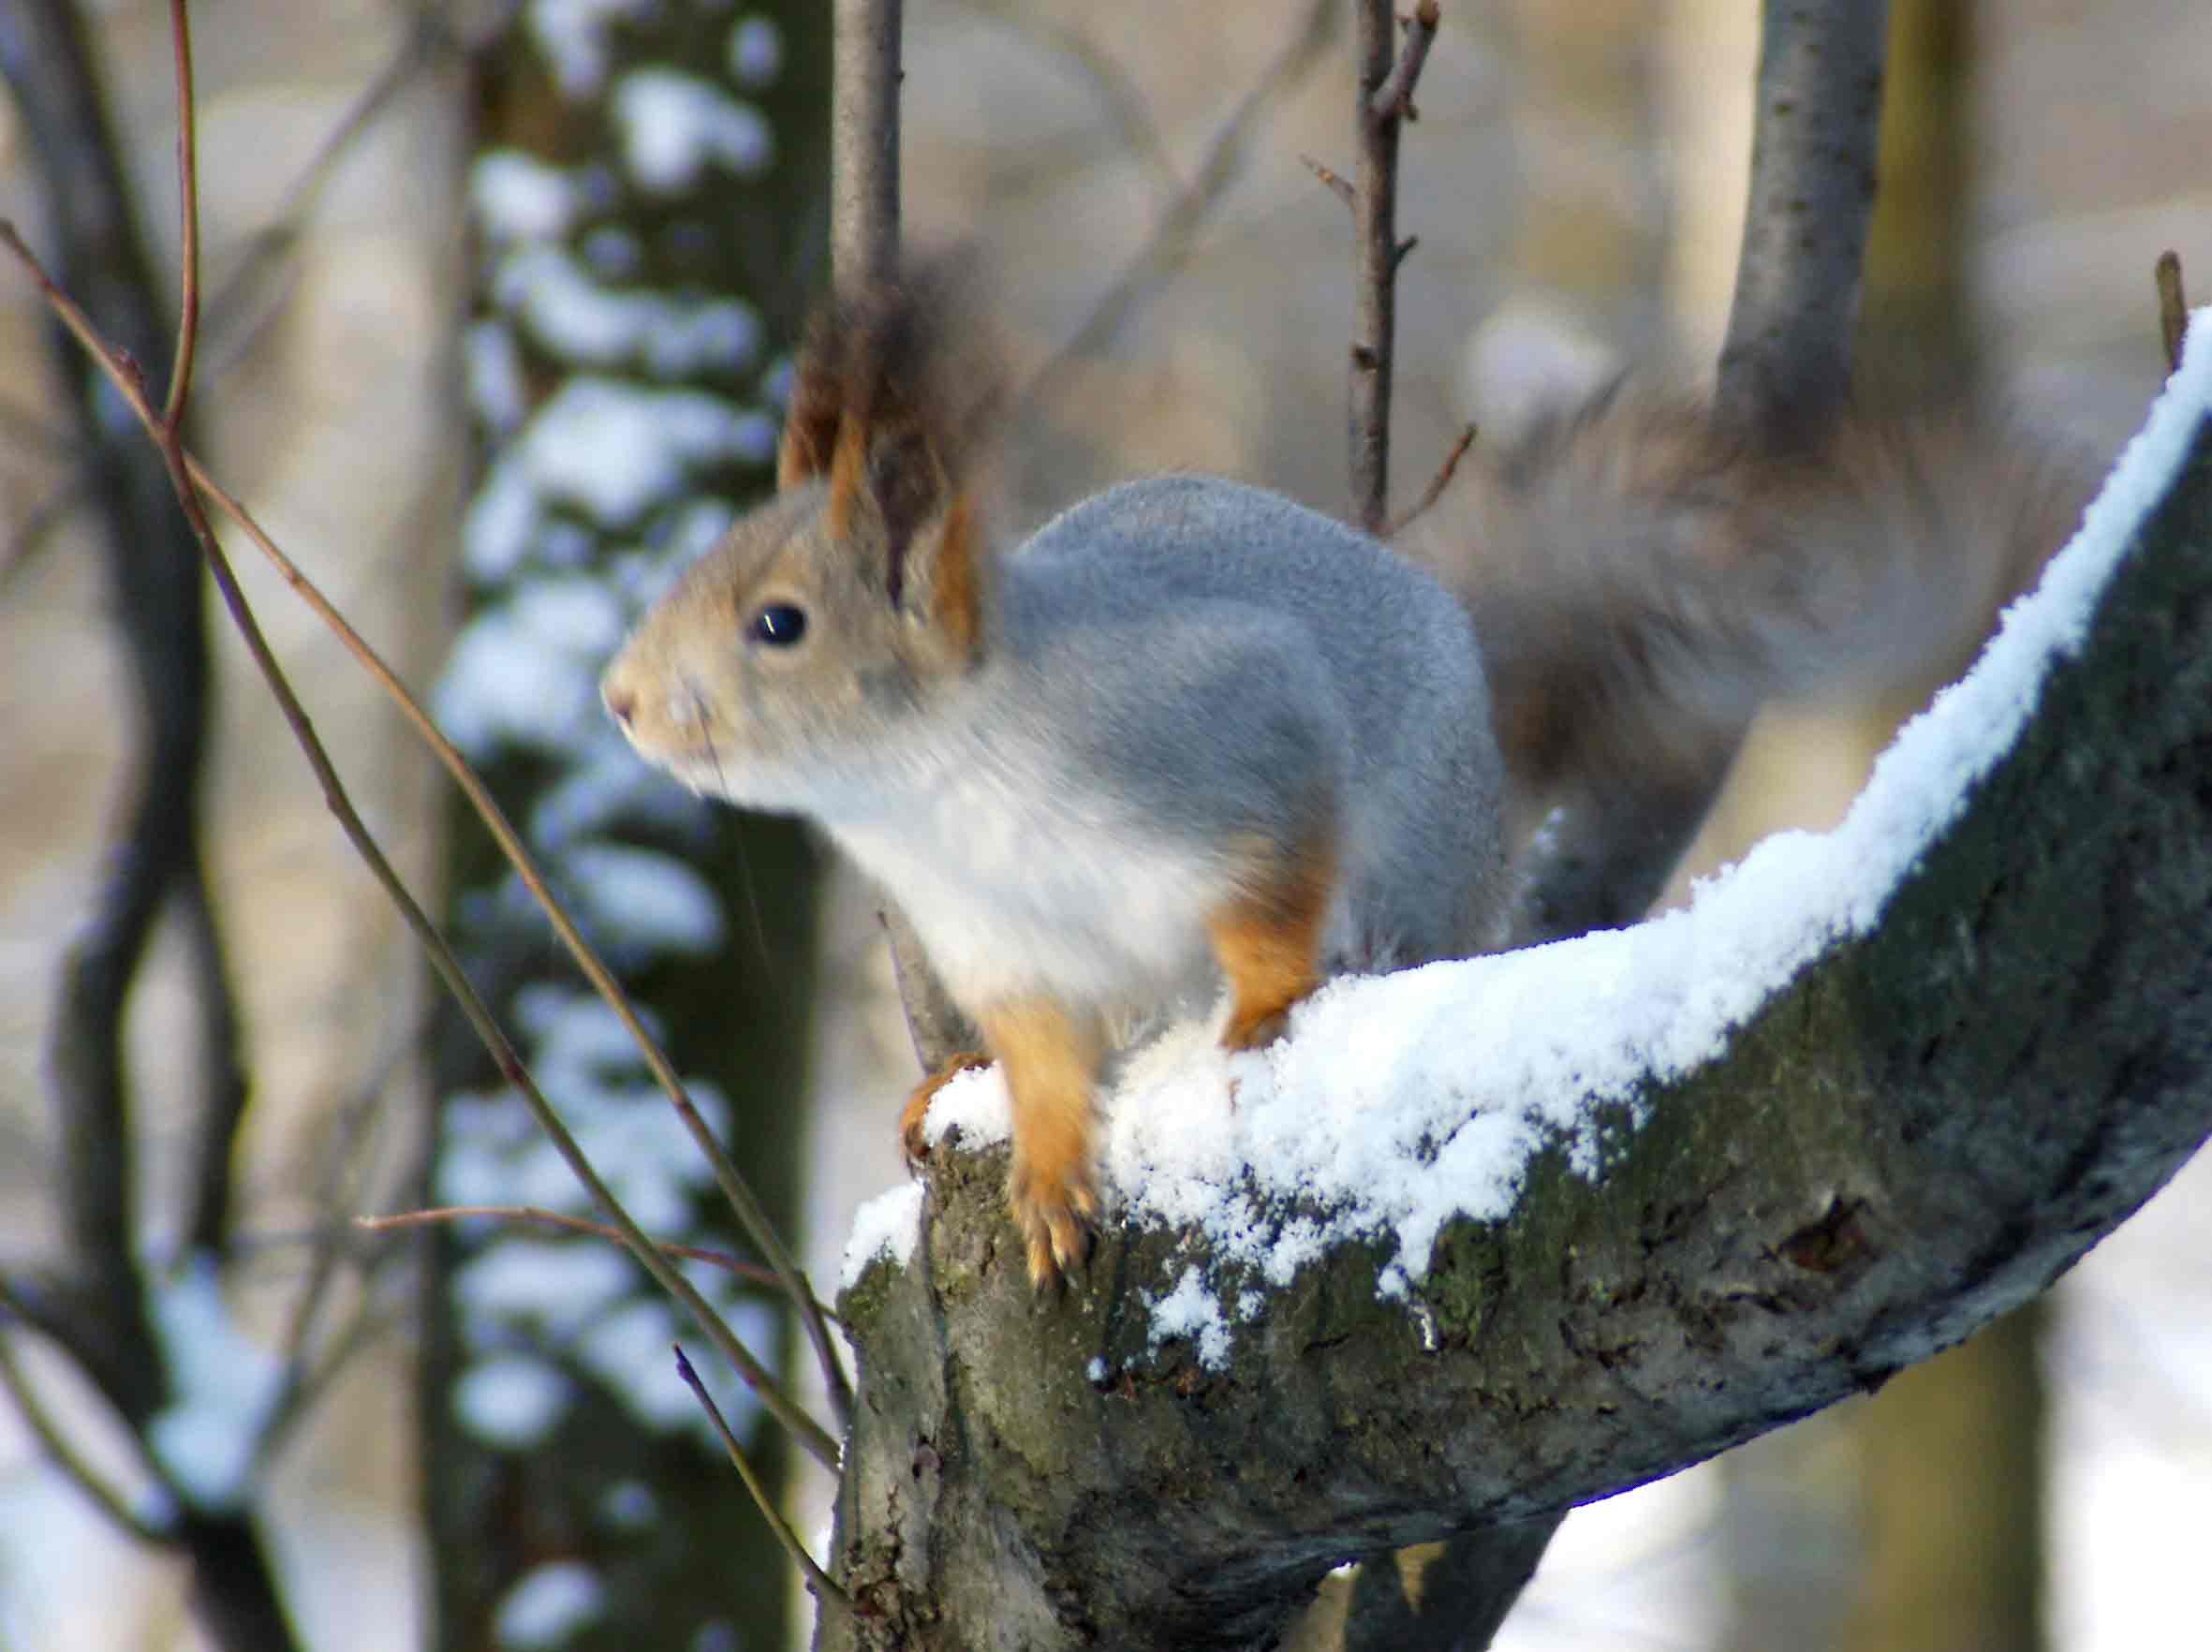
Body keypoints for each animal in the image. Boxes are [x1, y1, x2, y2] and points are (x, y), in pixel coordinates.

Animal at [601, 277, 2087, 1291]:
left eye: (779, 624)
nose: (619, 698)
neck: (938, 789)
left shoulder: (1243, 750)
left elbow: (1274, 891)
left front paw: (1263, 1012)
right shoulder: (998, 940)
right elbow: (1037, 1057)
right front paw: (1047, 1170)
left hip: (1419, 851)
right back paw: (950, 1083)